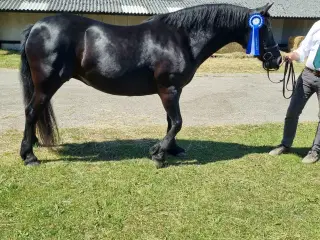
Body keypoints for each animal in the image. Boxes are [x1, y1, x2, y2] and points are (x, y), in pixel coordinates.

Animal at [18, 2, 282, 167]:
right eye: (264, 28)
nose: (277, 59)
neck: (182, 38)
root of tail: (36, 27)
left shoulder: (173, 91)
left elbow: (170, 122)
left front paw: (172, 150)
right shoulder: (168, 89)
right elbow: (177, 122)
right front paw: (158, 154)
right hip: (46, 84)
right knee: (31, 112)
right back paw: (29, 155)